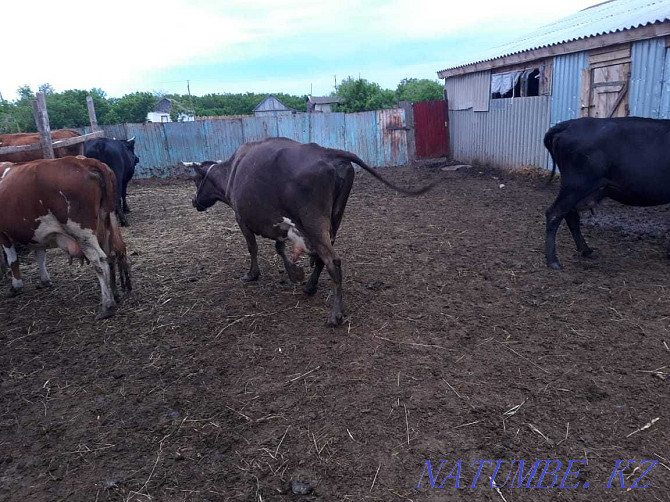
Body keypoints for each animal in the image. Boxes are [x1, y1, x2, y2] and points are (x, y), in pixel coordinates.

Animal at [0, 156, 133, 318]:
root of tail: (83, 162)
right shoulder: (36, 234)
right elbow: (40, 256)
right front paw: (44, 280)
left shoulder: (3, 234)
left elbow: (13, 260)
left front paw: (16, 286)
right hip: (106, 222)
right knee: (111, 255)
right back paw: (115, 294)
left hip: (83, 233)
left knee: (100, 261)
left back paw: (107, 305)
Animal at [185, 137, 436, 326]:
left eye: (196, 180)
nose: (194, 201)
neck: (231, 171)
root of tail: (326, 152)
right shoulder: (280, 223)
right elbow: (279, 246)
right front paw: (295, 273)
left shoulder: (242, 218)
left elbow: (253, 248)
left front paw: (254, 273)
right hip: (333, 219)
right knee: (322, 256)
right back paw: (311, 286)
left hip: (313, 221)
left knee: (332, 260)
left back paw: (335, 314)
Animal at [548, 117, 670, 270]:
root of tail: (569, 123)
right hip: (576, 184)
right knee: (554, 213)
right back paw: (553, 261)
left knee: (570, 214)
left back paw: (586, 250)